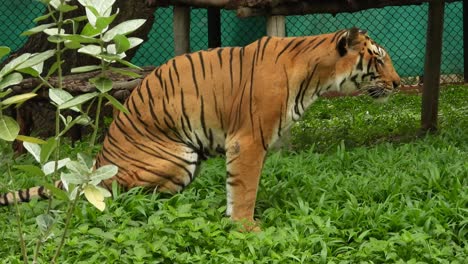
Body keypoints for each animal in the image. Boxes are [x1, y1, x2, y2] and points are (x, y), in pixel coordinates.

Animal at [1, 27, 400, 227]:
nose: (398, 84)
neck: (318, 76)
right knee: (130, 197)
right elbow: (245, 190)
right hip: (178, 158)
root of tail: (99, 162)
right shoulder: (248, 141)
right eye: (379, 60)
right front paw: (247, 228)